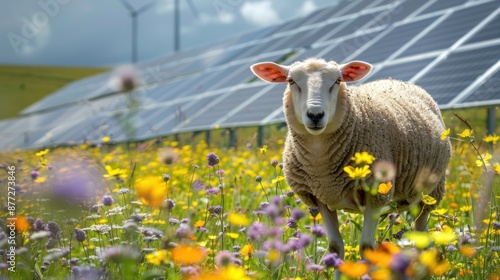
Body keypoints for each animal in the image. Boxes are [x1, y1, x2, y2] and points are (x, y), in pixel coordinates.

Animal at [252, 58, 452, 276]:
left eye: (338, 81)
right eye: (291, 81)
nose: (315, 115)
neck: (322, 168)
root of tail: (398, 80)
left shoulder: (375, 195)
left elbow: (367, 249)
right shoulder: (320, 198)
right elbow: (335, 247)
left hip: (430, 193)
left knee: (422, 236)